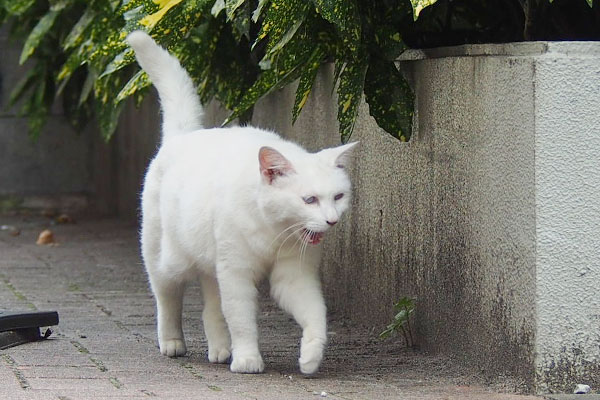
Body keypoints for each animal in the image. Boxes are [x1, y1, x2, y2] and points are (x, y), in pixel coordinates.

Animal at [127, 31, 356, 376]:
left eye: (338, 197)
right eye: (310, 199)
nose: (332, 220)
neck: (274, 229)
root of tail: (182, 137)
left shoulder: (294, 275)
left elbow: (316, 314)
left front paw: (311, 356)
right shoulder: (236, 273)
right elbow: (243, 321)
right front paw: (248, 359)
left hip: (211, 264)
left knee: (211, 308)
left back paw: (220, 350)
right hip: (167, 259)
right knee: (167, 298)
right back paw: (173, 342)